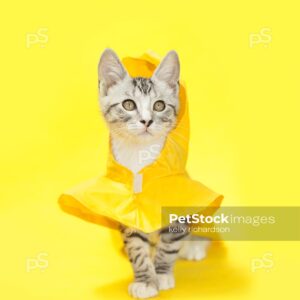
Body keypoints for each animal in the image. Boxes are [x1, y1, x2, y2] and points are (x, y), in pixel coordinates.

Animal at [98, 48, 209, 298]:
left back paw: (192, 245)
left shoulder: (174, 200)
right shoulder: (127, 207)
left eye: (159, 106)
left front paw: (161, 273)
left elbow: (169, 244)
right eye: (128, 104)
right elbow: (136, 247)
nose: (147, 121)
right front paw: (145, 279)